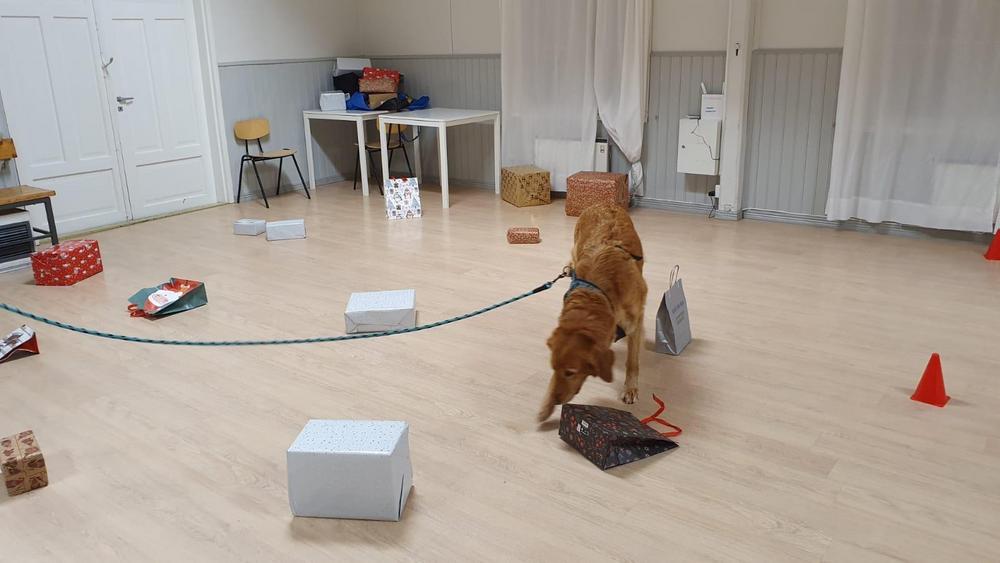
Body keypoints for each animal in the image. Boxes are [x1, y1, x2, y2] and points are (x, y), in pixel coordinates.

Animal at [538, 203, 647, 421]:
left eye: (570, 372)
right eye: (553, 367)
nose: (556, 401)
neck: (599, 292)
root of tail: (604, 203)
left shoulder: (636, 319)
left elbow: (632, 361)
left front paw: (630, 389)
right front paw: (545, 407)